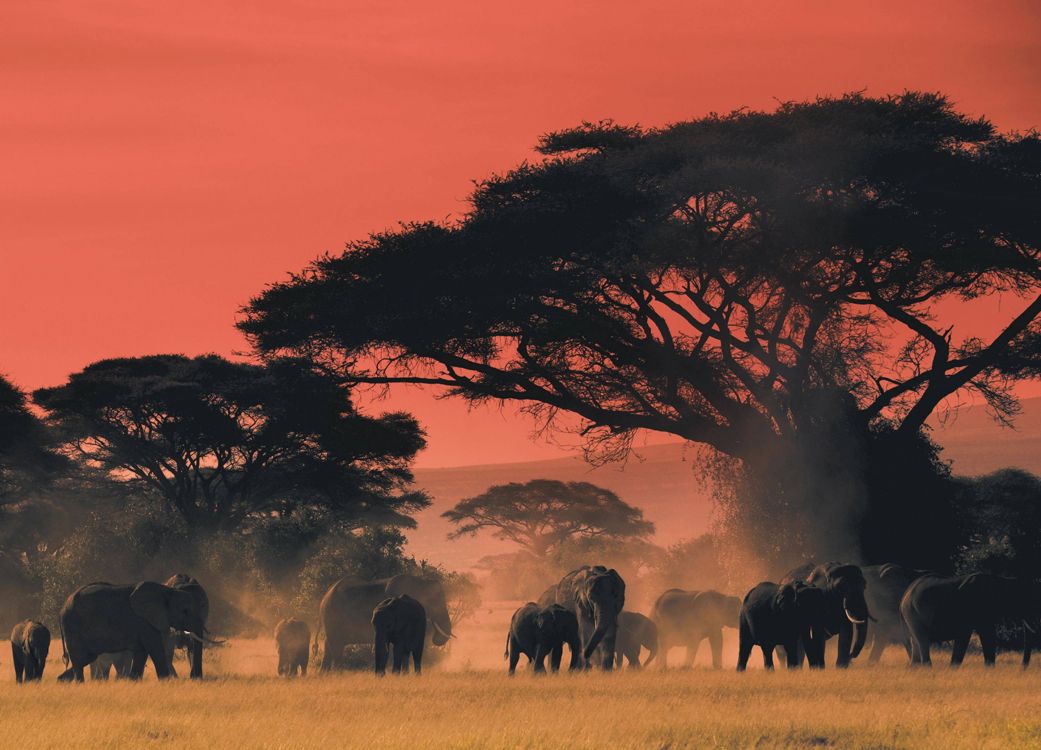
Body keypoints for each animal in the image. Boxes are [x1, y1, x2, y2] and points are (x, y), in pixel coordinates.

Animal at [56, 579, 213, 679]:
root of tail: (62, 608)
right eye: (185, 611)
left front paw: (133, 681)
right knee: (79, 659)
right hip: (72, 626)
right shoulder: (145, 621)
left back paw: (61, 679)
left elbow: (141, 653)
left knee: (85, 658)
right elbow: (155, 649)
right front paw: (166, 681)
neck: (167, 590)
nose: (195, 677)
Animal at [312, 570, 451, 670]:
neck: (420, 582)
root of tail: (323, 599)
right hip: (333, 618)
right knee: (336, 649)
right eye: (434, 602)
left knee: (329, 647)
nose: (437, 639)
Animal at [899, 575, 1036, 666]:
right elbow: (982, 636)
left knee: (916, 642)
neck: (1001, 580)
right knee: (923, 641)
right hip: (913, 614)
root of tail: (905, 596)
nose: (1021, 670)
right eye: (1019, 601)